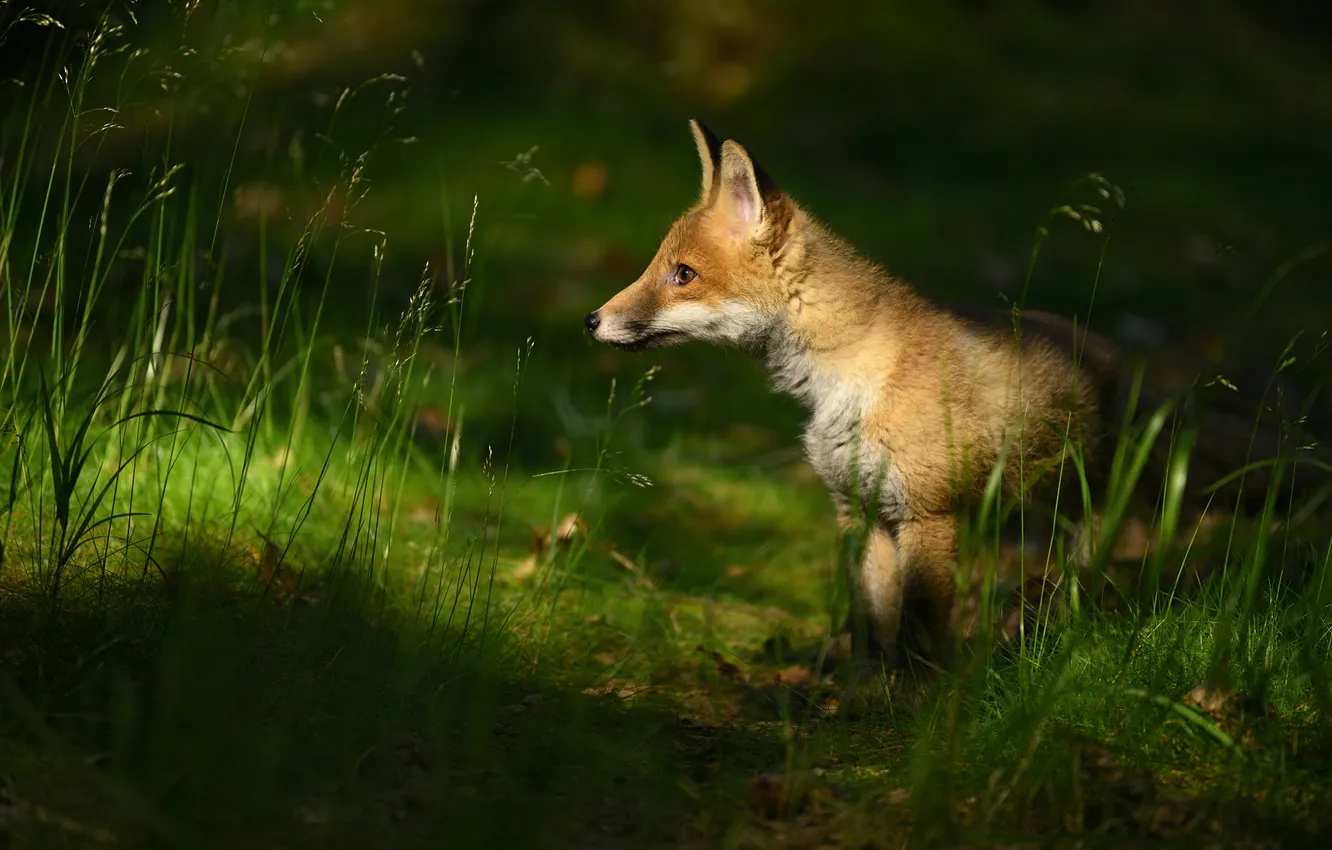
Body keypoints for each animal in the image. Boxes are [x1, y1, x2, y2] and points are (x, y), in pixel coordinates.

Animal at [585, 120, 1326, 701]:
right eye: (658, 265)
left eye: (682, 274)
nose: (593, 320)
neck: (846, 383)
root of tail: (1126, 362)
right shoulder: (860, 512)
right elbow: (870, 622)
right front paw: (863, 692)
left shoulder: (927, 514)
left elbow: (915, 625)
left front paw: (911, 704)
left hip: (1088, 512)